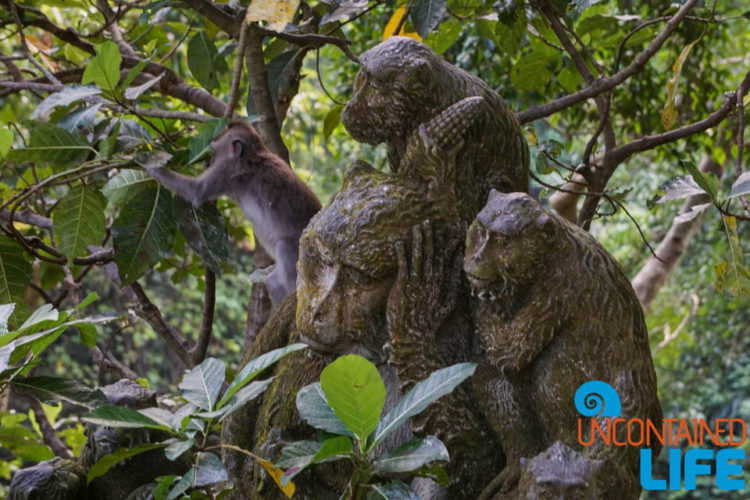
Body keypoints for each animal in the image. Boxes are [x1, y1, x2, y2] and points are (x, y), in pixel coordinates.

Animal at [146, 121, 320, 304]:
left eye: (215, 151)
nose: (211, 161)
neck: (252, 154)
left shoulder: (226, 170)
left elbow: (197, 191)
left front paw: (147, 163)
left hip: (300, 249)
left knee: (285, 249)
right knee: (272, 280)